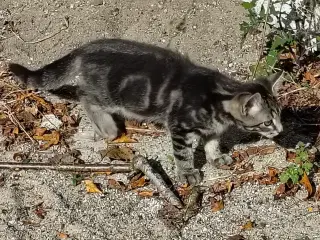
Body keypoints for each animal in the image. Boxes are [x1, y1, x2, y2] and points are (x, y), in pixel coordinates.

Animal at [6, 39, 282, 186]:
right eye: (267, 122)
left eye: (279, 116)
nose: (280, 130)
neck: (217, 98)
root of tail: (86, 47)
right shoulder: (180, 127)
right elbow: (183, 154)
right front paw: (187, 173)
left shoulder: (213, 128)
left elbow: (212, 142)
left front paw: (217, 157)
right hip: (106, 96)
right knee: (85, 97)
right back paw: (107, 128)